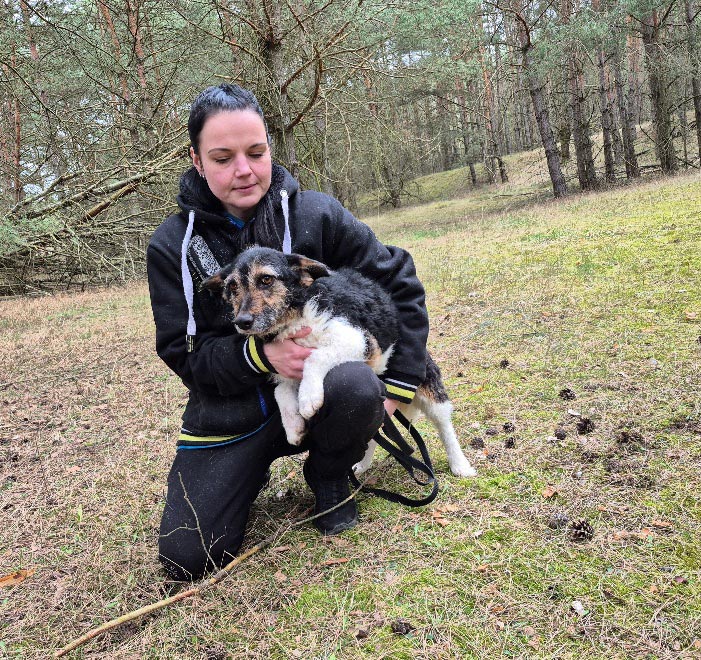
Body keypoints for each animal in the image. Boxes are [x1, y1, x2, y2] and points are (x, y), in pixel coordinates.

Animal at [203, 246, 476, 478]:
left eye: (266, 280)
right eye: (232, 287)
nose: (242, 322)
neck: (297, 314)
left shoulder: (358, 340)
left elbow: (315, 357)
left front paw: (308, 398)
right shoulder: (284, 367)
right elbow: (281, 392)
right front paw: (293, 426)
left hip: (428, 387)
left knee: (444, 425)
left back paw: (460, 465)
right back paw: (362, 465)